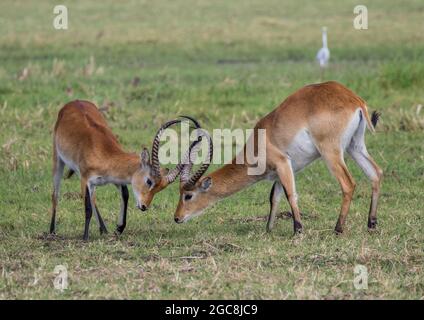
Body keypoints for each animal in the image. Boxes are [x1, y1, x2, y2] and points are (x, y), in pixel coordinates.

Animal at [51, 100, 199, 240]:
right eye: (149, 181)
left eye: (160, 188)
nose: (144, 206)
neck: (105, 154)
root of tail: (74, 102)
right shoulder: (85, 179)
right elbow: (87, 207)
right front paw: (85, 237)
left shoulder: (115, 178)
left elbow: (125, 195)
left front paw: (119, 229)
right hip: (58, 160)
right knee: (56, 194)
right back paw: (52, 231)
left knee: (93, 198)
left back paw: (103, 230)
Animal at [174, 80, 382, 235]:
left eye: (188, 195)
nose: (176, 217)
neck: (259, 144)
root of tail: (353, 100)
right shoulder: (281, 172)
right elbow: (274, 197)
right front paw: (269, 229)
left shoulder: (283, 164)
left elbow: (291, 194)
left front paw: (298, 230)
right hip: (355, 146)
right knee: (376, 173)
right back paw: (371, 224)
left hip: (331, 152)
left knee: (348, 183)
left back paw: (338, 229)